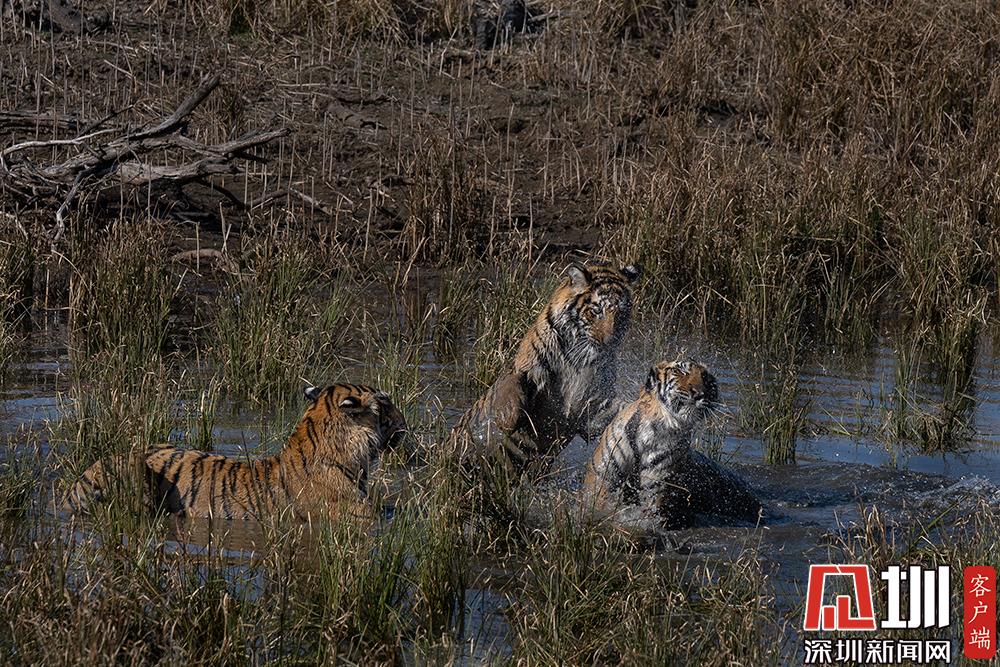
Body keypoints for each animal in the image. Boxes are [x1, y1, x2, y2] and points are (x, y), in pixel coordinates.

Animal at [448, 261, 641, 478]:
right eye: (596, 311)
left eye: (621, 314)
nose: (609, 342)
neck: (581, 360)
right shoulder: (525, 370)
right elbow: (510, 390)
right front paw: (499, 428)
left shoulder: (594, 404)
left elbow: (623, 407)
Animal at [582, 359, 761, 529]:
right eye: (680, 371)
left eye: (705, 377)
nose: (699, 394)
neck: (657, 428)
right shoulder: (603, 479)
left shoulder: (656, 487)